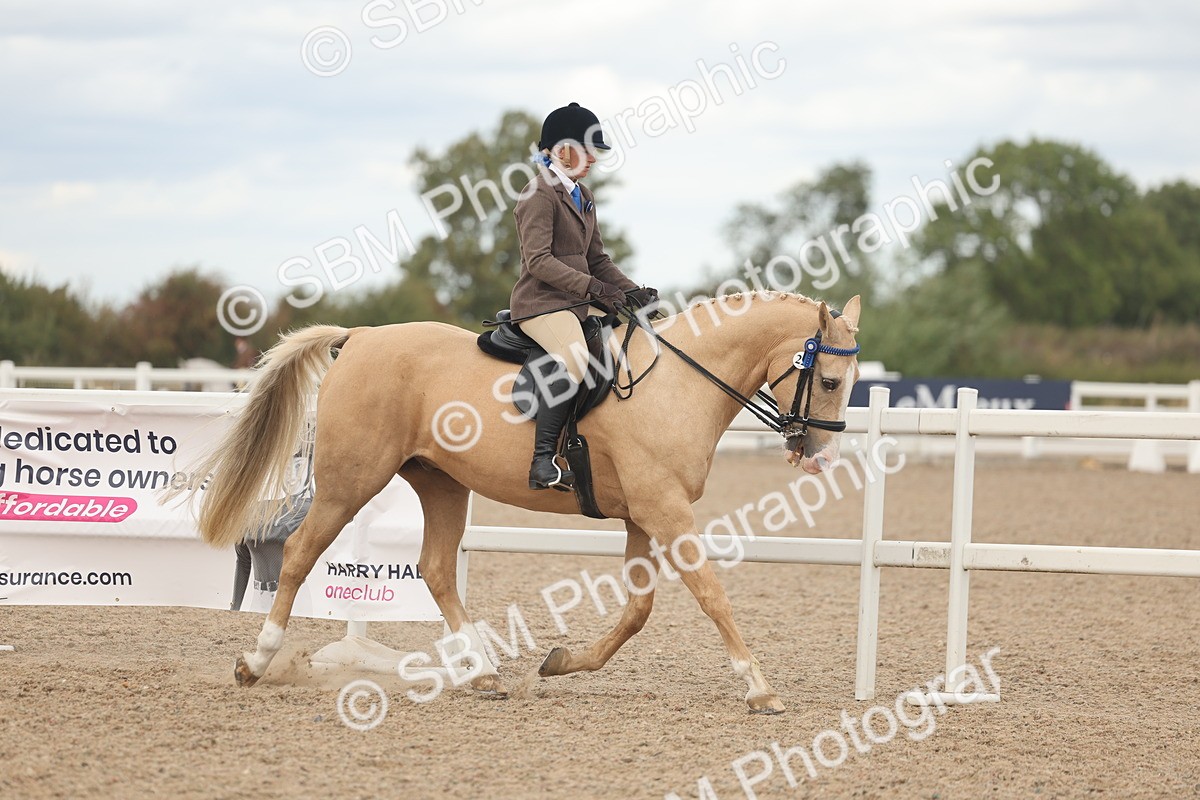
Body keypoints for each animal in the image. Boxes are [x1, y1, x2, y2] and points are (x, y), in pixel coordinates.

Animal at [181, 291, 861, 713]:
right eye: (829, 380)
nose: (818, 456)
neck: (677, 384)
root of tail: (361, 338)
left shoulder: (644, 516)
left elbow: (638, 610)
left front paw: (562, 662)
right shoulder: (666, 511)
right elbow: (712, 595)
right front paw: (760, 688)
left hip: (440, 482)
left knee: (435, 569)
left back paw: (483, 674)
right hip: (352, 480)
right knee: (298, 554)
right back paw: (255, 662)